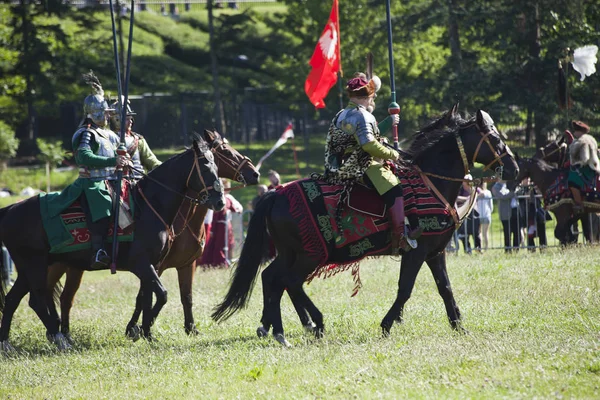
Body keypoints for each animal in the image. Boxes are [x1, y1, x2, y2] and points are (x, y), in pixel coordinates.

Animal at [0, 135, 225, 350]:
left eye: (217, 167)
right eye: (206, 168)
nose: (220, 202)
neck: (148, 206)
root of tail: (9, 210)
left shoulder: (152, 265)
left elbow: (147, 298)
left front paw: (146, 333)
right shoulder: (143, 265)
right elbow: (161, 295)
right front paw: (140, 330)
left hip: (29, 268)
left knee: (15, 299)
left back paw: (8, 344)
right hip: (35, 265)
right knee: (37, 300)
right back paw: (59, 338)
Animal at [45, 129, 258, 340]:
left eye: (216, 162)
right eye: (226, 152)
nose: (255, 174)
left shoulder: (185, 265)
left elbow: (184, 296)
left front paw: (189, 328)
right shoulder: (152, 265)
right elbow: (148, 296)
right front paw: (136, 328)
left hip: (72, 267)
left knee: (63, 297)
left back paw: (62, 333)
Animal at [212, 108, 520, 346]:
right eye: (494, 138)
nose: (514, 169)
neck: (431, 182)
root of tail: (275, 193)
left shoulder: (435, 252)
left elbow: (445, 288)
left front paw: (458, 325)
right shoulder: (417, 252)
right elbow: (405, 289)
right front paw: (387, 324)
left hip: (291, 253)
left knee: (272, 278)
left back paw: (277, 329)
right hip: (311, 254)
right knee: (290, 280)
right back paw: (314, 323)